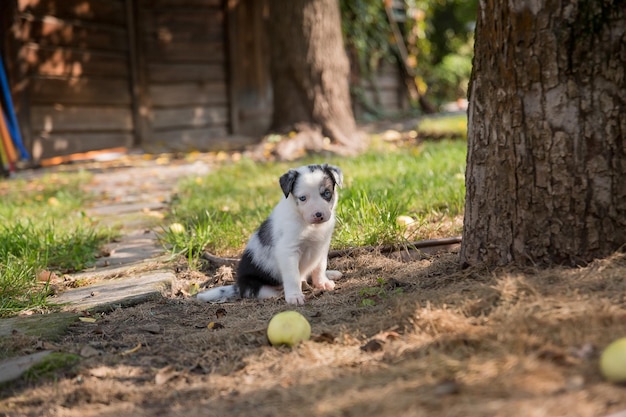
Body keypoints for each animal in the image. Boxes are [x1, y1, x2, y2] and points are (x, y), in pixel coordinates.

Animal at [197, 164, 342, 304]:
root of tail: (239, 286)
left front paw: (322, 282)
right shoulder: (288, 250)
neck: (310, 226)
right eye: (302, 198)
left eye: (326, 193)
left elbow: (320, 267)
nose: (319, 215)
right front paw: (294, 296)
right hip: (255, 285)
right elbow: (292, 276)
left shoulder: (322, 246)